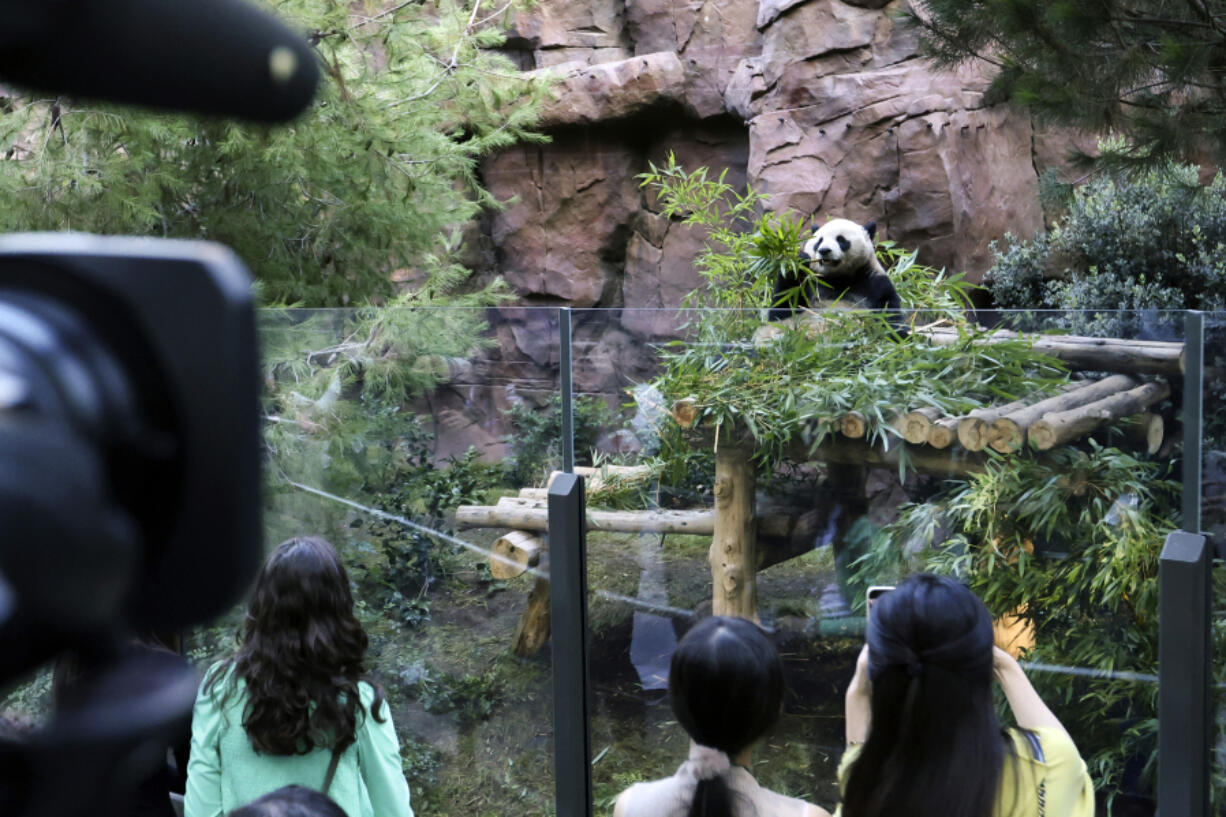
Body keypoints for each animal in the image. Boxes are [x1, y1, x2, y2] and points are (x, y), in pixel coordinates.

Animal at [774, 215, 902, 323]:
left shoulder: (875, 283)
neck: (837, 278)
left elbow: (889, 317)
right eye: (819, 241)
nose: (824, 250)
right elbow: (782, 309)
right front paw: (796, 264)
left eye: (841, 239)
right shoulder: (810, 283)